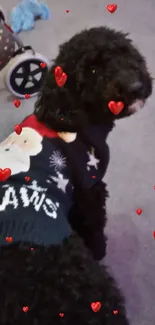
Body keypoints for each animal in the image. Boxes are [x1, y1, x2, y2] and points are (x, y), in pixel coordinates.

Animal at [0, 26, 152, 322]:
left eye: (124, 52)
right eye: (92, 70)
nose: (134, 86)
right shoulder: (89, 188)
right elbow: (94, 227)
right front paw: (100, 250)